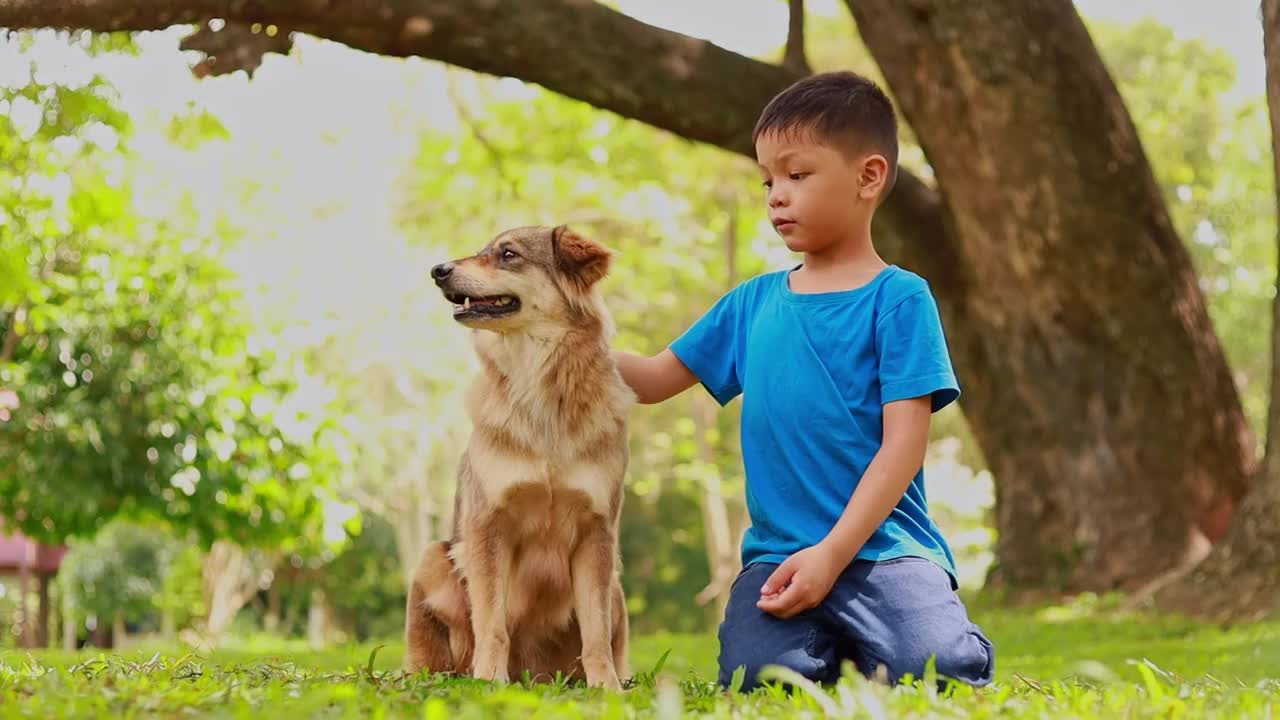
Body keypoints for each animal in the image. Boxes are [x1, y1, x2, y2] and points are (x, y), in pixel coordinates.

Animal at [404, 224, 634, 691]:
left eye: (508, 254)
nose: (438, 270)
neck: (540, 383)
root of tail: (535, 673)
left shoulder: (597, 533)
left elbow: (597, 629)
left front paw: (606, 686)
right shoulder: (487, 525)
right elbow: (491, 621)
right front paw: (489, 679)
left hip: (617, 586)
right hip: (433, 558)